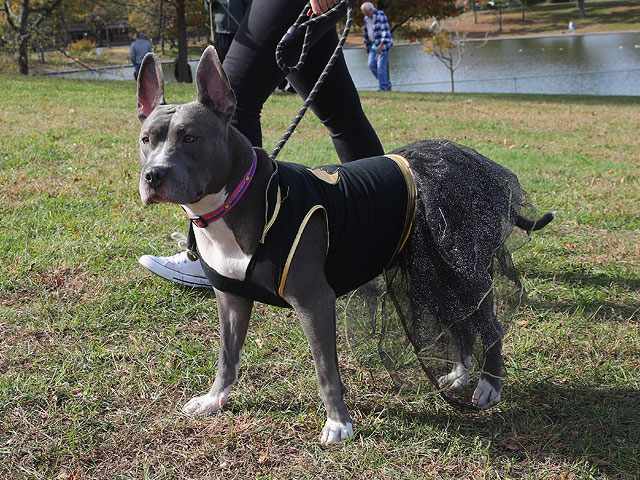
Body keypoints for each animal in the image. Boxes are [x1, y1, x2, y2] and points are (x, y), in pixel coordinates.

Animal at [136, 47, 556, 444]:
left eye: (190, 137)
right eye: (146, 140)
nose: (153, 174)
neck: (244, 198)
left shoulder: (314, 301)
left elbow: (325, 370)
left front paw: (338, 423)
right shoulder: (231, 299)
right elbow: (227, 355)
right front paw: (213, 399)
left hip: (461, 271)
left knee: (489, 325)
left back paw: (488, 386)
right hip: (431, 274)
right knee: (459, 324)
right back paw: (458, 373)